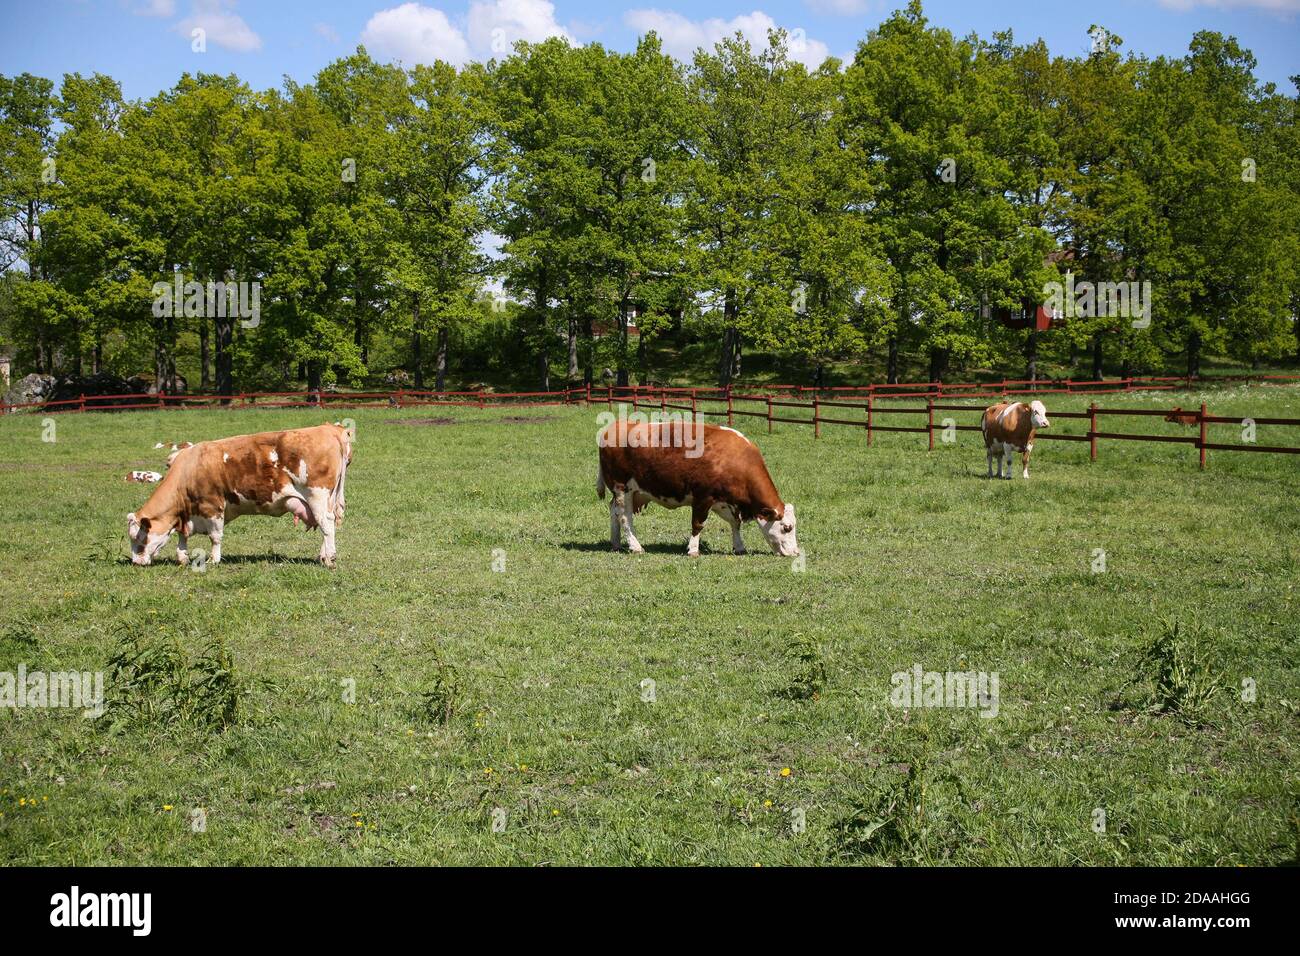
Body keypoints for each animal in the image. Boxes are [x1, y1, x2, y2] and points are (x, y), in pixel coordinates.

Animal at [127, 423, 351, 568]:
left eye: (139, 537)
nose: (136, 562)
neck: (188, 470)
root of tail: (330, 428)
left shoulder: (212, 506)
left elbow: (215, 536)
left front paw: (213, 560)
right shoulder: (188, 513)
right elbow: (183, 536)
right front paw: (182, 558)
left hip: (317, 496)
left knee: (326, 524)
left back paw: (330, 559)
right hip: (326, 499)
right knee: (327, 525)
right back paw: (322, 556)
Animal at [597, 420, 800, 557]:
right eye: (787, 528)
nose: (796, 552)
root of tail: (614, 426)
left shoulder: (725, 501)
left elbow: (735, 523)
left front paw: (739, 547)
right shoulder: (703, 497)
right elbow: (698, 524)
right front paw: (693, 549)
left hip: (628, 493)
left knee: (614, 511)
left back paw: (615, 543)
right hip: (622, 488)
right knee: (624, 517)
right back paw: (635, 546)